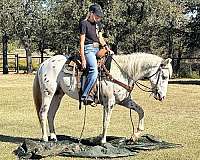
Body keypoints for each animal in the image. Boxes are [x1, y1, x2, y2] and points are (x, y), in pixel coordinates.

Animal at [32, 52, 172, 144]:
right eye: (164, 76)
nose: (162, 96)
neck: (122, 72)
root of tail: (44, 63)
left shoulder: (124, 100)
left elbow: (141, 111)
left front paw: (135, 135)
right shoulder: (109, 102)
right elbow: (106, 121)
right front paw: (103, 141)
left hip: (58, 95)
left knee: (51, 114)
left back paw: (54, 137)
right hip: (48, 93)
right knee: (43, 113)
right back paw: (45, 138)